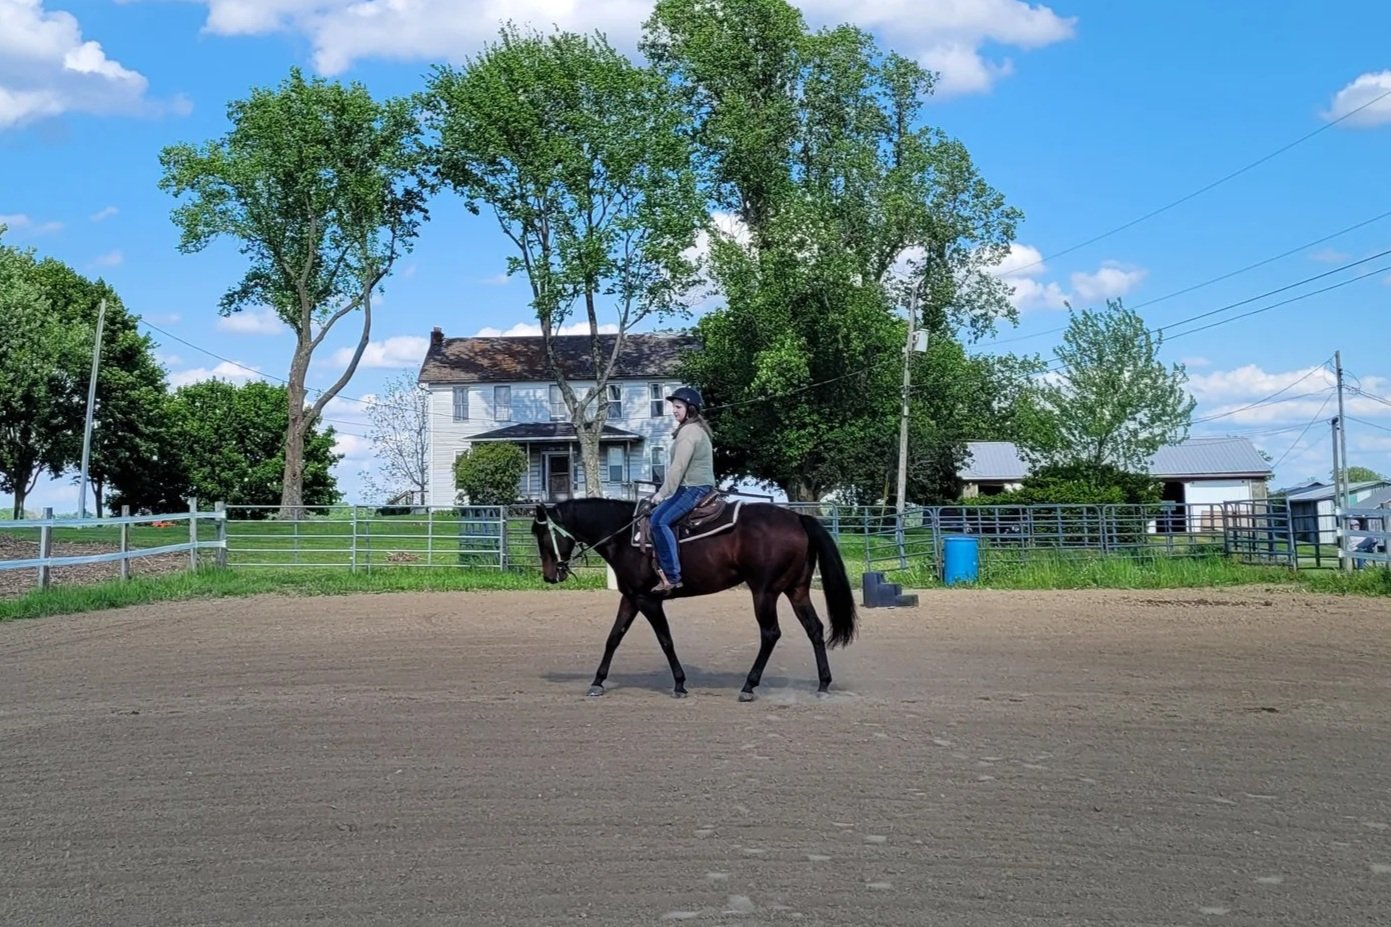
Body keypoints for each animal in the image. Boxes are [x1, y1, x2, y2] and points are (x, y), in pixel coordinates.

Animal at [530, 497, 859, 701]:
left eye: (542, 536)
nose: (549, 576)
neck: (625, 536)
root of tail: (798, 518)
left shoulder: (649, 601)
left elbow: (665, 640)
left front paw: (679, 683)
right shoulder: (631, 597)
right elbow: (614, 638)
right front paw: (597, 682)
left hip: (764, 592)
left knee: (770, 633)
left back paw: (749, 686)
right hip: (796, 590)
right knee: (814, 629)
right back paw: (823, 684)